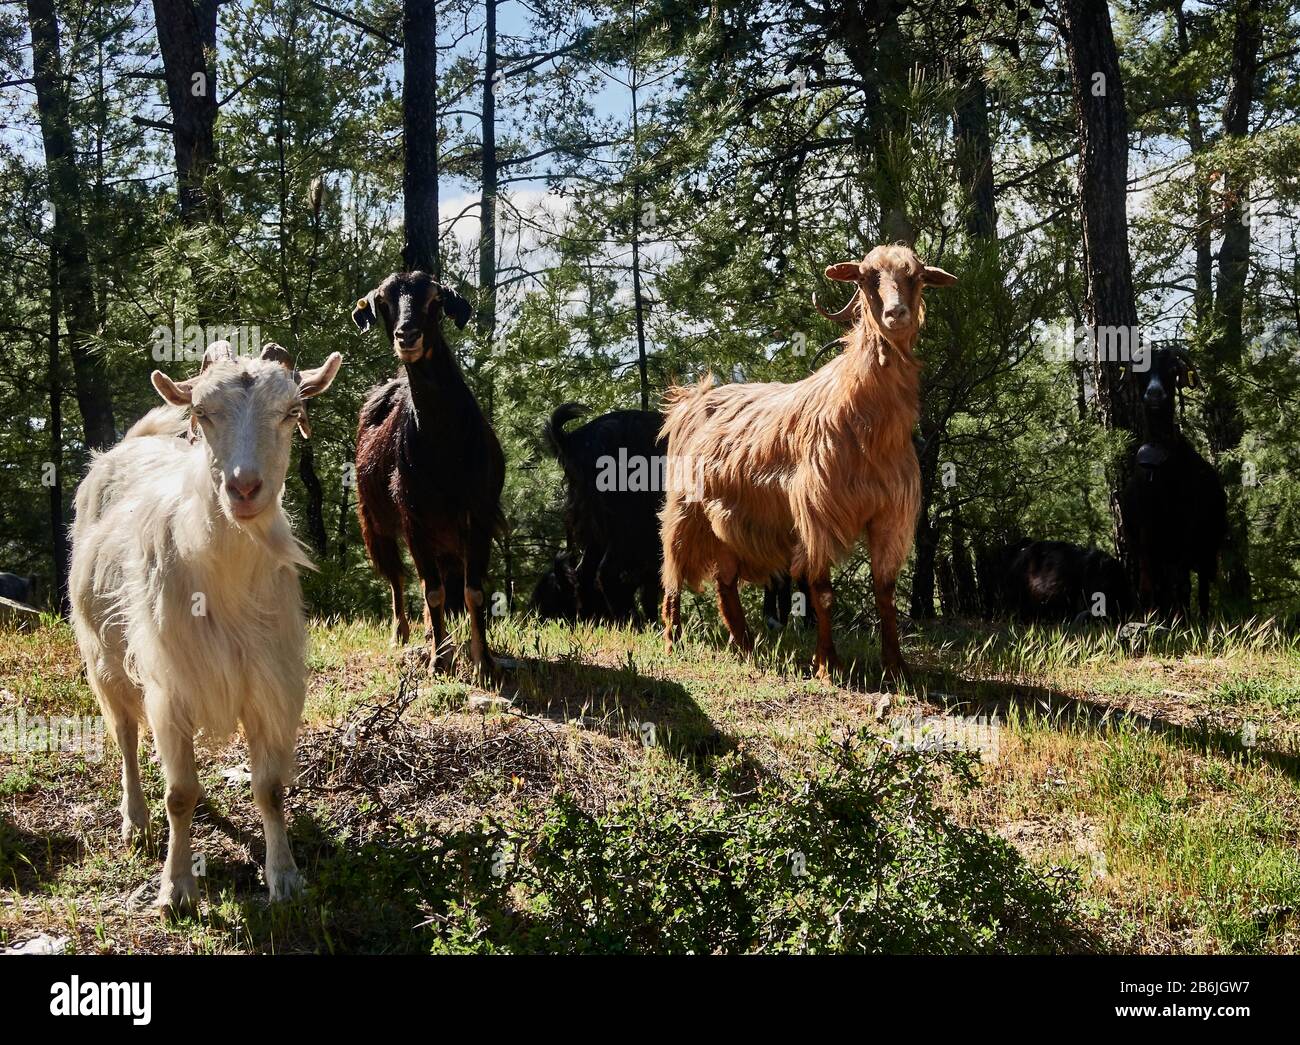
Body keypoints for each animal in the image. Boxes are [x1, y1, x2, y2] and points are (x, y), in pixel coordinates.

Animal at [71, 345, 340, 915]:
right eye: (203, 412)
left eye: (291, 412)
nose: (243, 487)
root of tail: (134, 441)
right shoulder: (169, 685)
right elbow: (179, 795)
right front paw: (176, 889)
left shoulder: (269, 680)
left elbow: (269, 788)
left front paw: (284, 878)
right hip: (103, 657)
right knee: (125, 734)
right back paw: (135, 820)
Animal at [353, 272, 504, 675]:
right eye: (383, 301)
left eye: (435, 300)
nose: (407, 336)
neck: (445, 446)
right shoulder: (414, 517)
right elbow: (432, 590)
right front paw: (440, 660)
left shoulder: (478, 513)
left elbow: (473, 591)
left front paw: (484, 661)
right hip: (375, 521)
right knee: (398, 577)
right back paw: (404, 634)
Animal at [1118, 345, 1227, 621]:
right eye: (1141, 372)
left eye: (1172, 370)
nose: (1154, 394)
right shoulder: (1146, 529)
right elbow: (1149, 584)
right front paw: (1152, 619)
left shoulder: (1188, 526)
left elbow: (1183, 583)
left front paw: (1183, 622)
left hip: (1208, 543)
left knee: (1200, 585)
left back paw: (1201, 620)